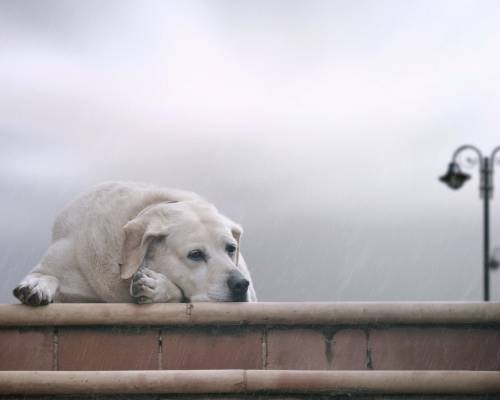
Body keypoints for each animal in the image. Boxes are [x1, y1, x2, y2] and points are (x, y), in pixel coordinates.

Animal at [13, 183, 256, 304]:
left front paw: (156, 286)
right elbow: (47, 274)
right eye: (195, 254)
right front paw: (37, 285)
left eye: (231, 249)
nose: (240, 284)